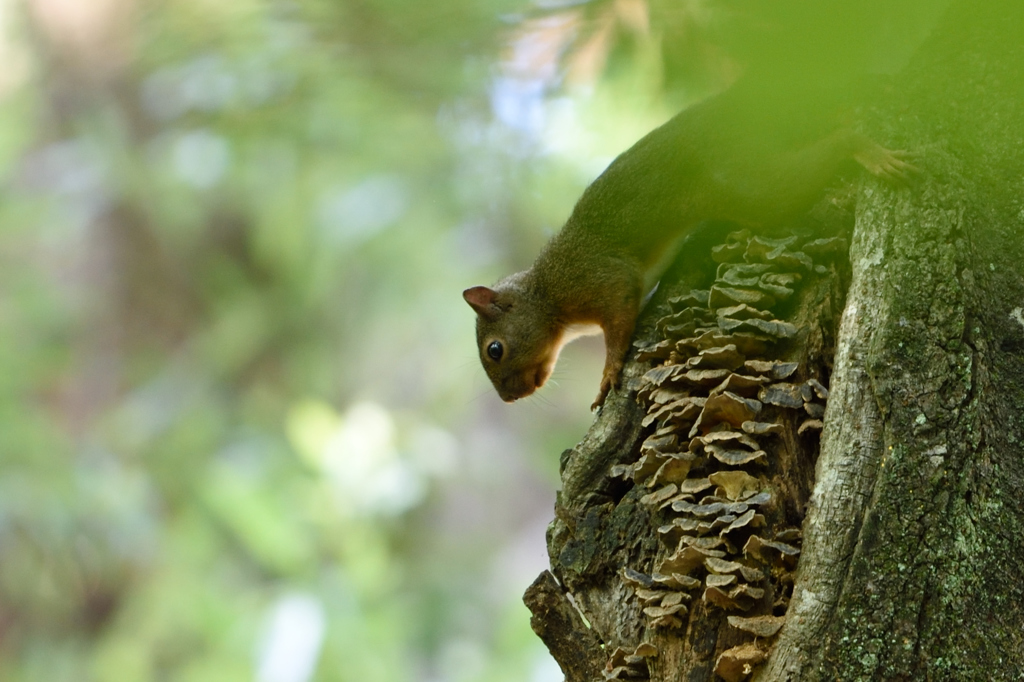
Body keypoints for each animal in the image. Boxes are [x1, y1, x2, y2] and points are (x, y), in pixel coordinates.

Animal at [460, 79, 917, 409]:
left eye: (495, 350)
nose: (511, 397)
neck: (548, 291)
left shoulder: (598, 279)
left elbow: (620, 316)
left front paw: (608, 375)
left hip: (743, 185)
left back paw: (860, 146)